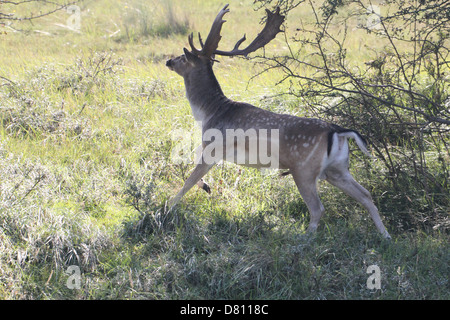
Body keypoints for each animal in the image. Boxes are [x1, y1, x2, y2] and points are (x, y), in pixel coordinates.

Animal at [165, 3, 390, 239]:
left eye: (183, 57)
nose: (168, 61)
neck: (210, 112)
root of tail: (337, 131)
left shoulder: (214, 146)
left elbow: (188, 179)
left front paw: (167, 208)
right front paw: (205, 187)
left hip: (304, 169)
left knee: (318, 208)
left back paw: (305, 239)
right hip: (337, 169)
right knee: (366, 194)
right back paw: (386, 236)